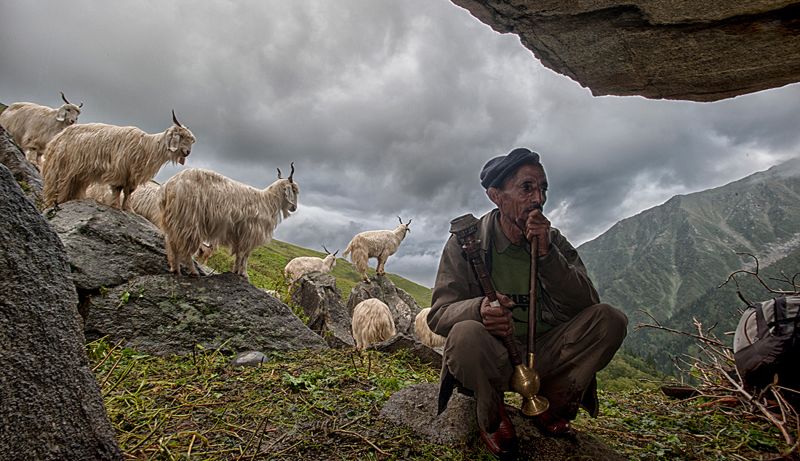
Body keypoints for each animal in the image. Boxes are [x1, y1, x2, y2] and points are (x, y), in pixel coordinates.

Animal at [43, 110, 195, 208]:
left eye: (191, 140)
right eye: (181, 136)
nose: (187, 152)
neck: (146, 147)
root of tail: (55, 139)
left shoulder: (133, 175)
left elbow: (129, 192)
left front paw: (128, 209)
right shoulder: (119, 170)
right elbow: (118, 188)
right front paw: (116, 206)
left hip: (77, 175)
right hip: (60, 168)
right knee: (55, 186)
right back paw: (52, 204)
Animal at [159, 165, 300, 280]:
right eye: (294, 189)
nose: (294, 208)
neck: (267, 201)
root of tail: (169, 185)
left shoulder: (240, 234)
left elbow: (239, 254)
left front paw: (236, 271)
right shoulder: (250, 233)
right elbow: (245, 255)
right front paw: (244, 274)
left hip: (176, 220)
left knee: (172, 243)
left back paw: (175, 269)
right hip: (190, 221)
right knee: (185, 248)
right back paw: (193, 272)